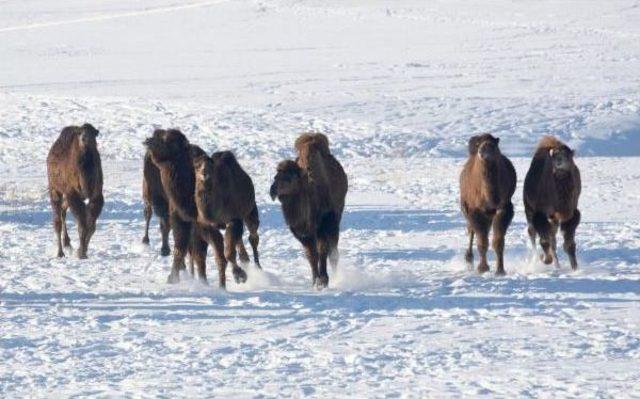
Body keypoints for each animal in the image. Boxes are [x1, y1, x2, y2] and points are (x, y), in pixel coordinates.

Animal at [47, 123, 104, 260]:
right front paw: (81, 253)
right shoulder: (73, 193)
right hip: (54, 187)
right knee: (57, 220)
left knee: (63, 210)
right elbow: (82, 225)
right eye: (80, 132)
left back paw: (67, 243)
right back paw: (60, 252)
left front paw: (82, 250)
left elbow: (91, 226)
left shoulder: (97, 195)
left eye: (93, 133)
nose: (84, 138)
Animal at [270, 133, 350, 290]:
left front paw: (323, 280)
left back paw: (336, 277)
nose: (273, 190)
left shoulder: (324, 225)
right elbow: (311, 255)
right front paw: (315, 281)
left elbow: (322, 251)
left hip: (335, 220)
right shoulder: (304, 234)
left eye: (289, 177)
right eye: (276, 176)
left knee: (333, 253)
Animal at [458, 134, 516, 276]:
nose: (484, 149)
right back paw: (468, 259)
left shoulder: (504, 207)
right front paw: (482, 268)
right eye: (480, 144)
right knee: (471, 230)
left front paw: (500, 270)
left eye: (493, 144)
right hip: (467, 207)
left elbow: (498, 241)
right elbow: (482, 241)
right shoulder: (474, 210)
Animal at [524, 136, 584, 270]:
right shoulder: (541, 211)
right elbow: (545, 240)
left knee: (552, 236)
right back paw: (538, 259)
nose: (559, 160)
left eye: (567, 155)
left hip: (553, 217)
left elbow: (568, 242)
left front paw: (575, 266)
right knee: (532, 232)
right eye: (555, 154)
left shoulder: (570, 211)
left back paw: (557, 264)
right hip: (529, 209)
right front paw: (546, 259)